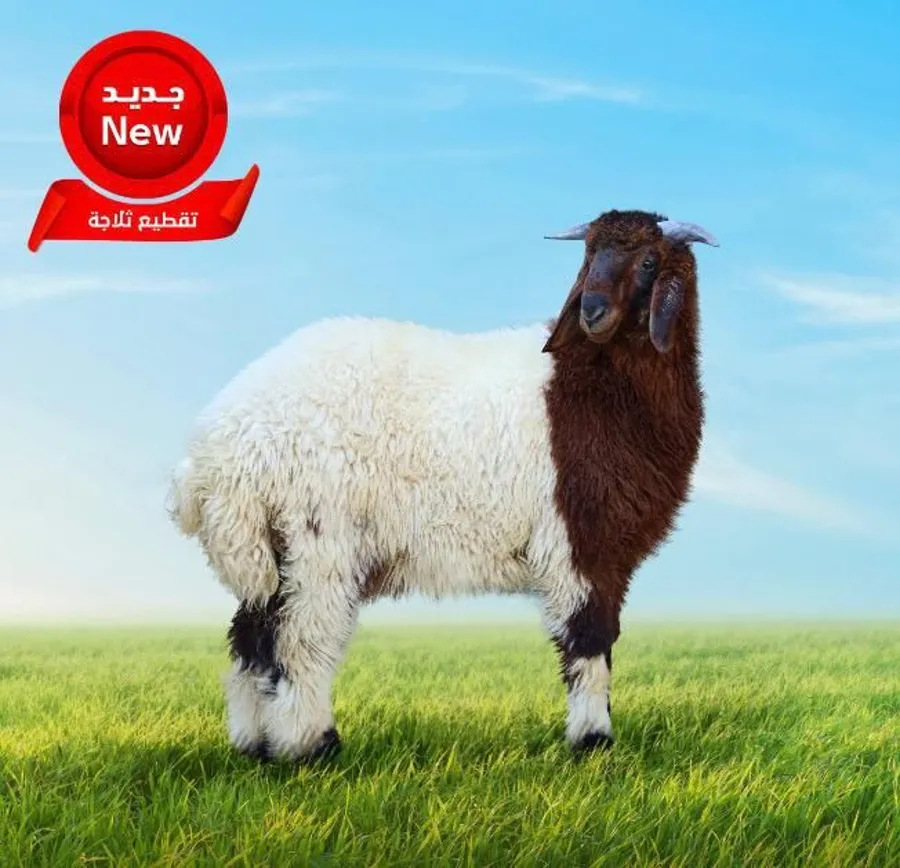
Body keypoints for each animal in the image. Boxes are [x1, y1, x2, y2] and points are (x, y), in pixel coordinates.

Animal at [167, 207, 718, 763]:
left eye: (648, 261)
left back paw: (254, 744)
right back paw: (313, 745)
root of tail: (216, 449)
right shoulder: (580, 545)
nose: (592, 312)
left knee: (251, 639)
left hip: (271, 550)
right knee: (300, 640)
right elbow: (589, 641)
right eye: (589, 254)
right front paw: (593, 741)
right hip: (315, 535)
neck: (597, 383)